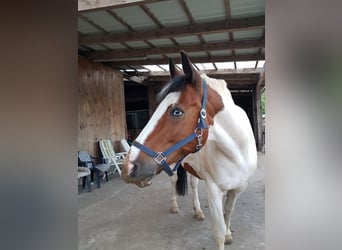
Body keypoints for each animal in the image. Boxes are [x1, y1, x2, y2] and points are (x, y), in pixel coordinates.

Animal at [122, 51, 256, 250]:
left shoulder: (238, 188)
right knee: (174, 181)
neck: (236, 152)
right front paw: (224, 235)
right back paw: (174, 207)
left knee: (193, 184)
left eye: (177, 111)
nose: (128, 166)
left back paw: (198, 211)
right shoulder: (214, 190)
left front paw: (229, 234)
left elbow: (228, 213)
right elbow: (218, 232)